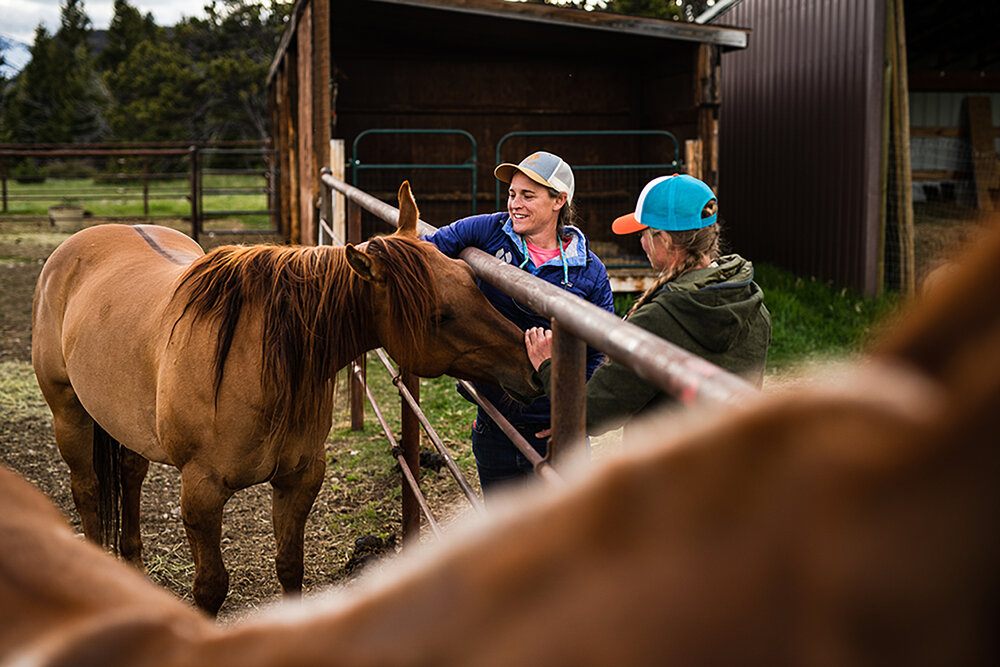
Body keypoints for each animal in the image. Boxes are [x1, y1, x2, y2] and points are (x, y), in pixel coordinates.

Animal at [29, 179, 540, 616]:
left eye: (472, 278)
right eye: (439, 315)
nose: (530, 364)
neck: (256, 360)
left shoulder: (300, 477)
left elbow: (291, 568)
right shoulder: (201, 491)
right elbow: (210, 587)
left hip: (124, 423)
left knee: (129, 476)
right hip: (68, 413)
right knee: (88, 491)